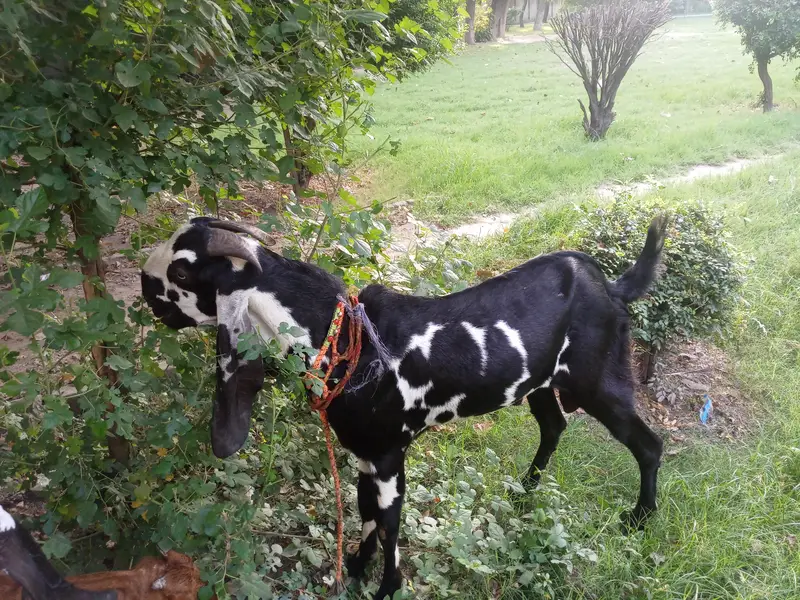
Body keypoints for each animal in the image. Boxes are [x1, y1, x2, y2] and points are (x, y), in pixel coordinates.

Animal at [141, 216, 668, 599]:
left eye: (182, 271)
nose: (145, 285)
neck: (348, 341)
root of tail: (611, 287)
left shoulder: (390, 456)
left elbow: (390, 524)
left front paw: (387, 588)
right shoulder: (365, 456)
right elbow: (367, 513)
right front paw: (355, 568)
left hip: (600, 382)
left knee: (649, 443)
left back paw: (640, 518)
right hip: (541, 385)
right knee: (555, 425)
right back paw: (525, 493)